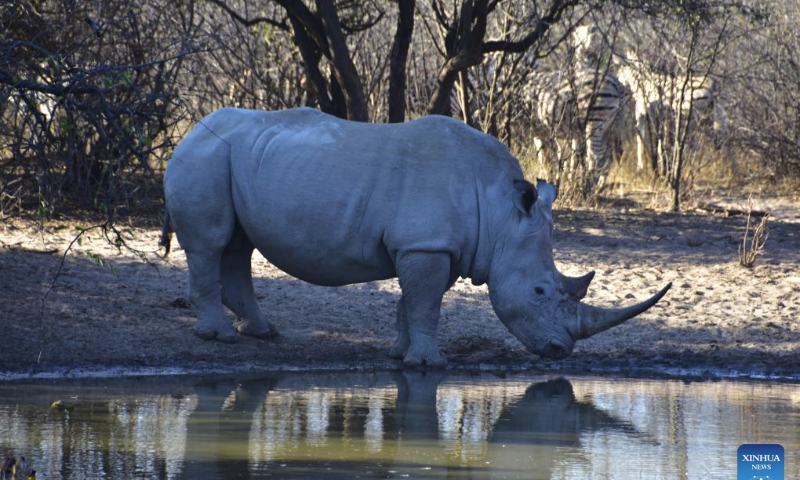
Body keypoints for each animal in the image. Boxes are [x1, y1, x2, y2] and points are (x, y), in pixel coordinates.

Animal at [161, 107, 668, 366]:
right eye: (542, 291)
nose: (560, 352)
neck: (501, 215)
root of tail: (190, 130)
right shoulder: (426, 244)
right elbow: (426, 302)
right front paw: (429, 364)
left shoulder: (433, 244)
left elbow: (416, 301)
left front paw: (402, 353)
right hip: (205, 157)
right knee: (211, 242)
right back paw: (219, 339)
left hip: (237, 158)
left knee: (238, 244)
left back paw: (261, 333)